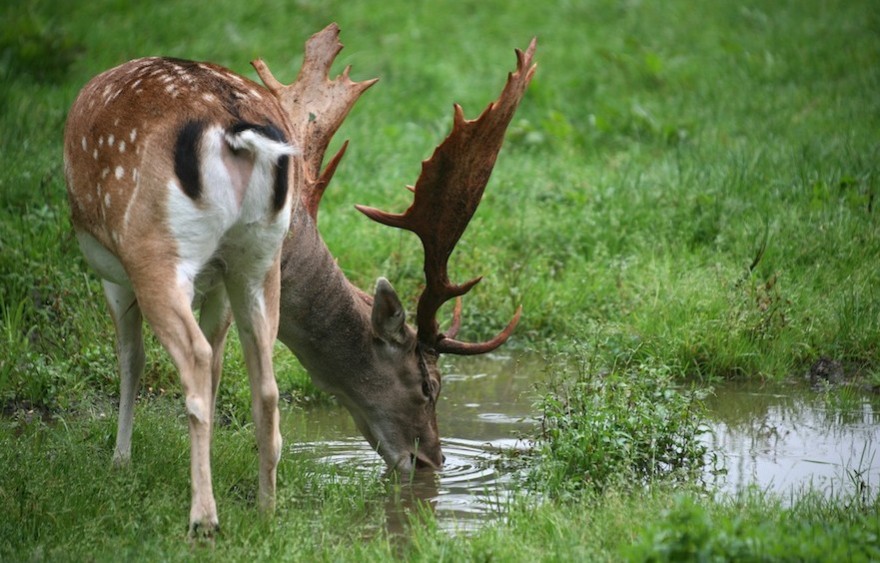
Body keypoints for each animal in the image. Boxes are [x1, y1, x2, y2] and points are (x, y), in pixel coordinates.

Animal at [63, 24, 536, 536]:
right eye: (429, 386)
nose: (432, 461)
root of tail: (236, 133)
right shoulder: (225, 283)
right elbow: (200, 366)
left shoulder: (121, 269)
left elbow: (133, 358)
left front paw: (120, 463)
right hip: (252, 259)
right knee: (263, 387)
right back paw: (264, 509)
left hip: (156, 248)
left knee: (194, 358)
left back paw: (204, 519)